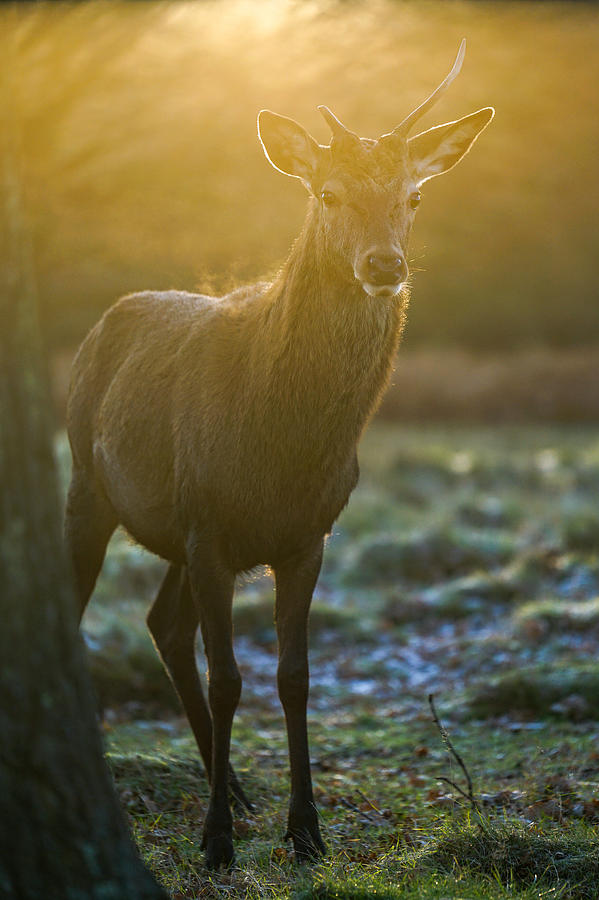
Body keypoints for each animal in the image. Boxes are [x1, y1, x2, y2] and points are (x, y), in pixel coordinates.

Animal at [65, 40, 494, 864]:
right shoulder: (208, 527)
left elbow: (294, 676)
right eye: (328, 194)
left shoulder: (307, 534)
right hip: (86, 481)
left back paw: (231, 785)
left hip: (174, 527)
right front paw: (216, 842)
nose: (384, 264)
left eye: (413, 197)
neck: (283, 447)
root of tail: (102, 321)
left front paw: (306, 830)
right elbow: (231, 678)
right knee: (76, 615)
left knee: (164, 625)